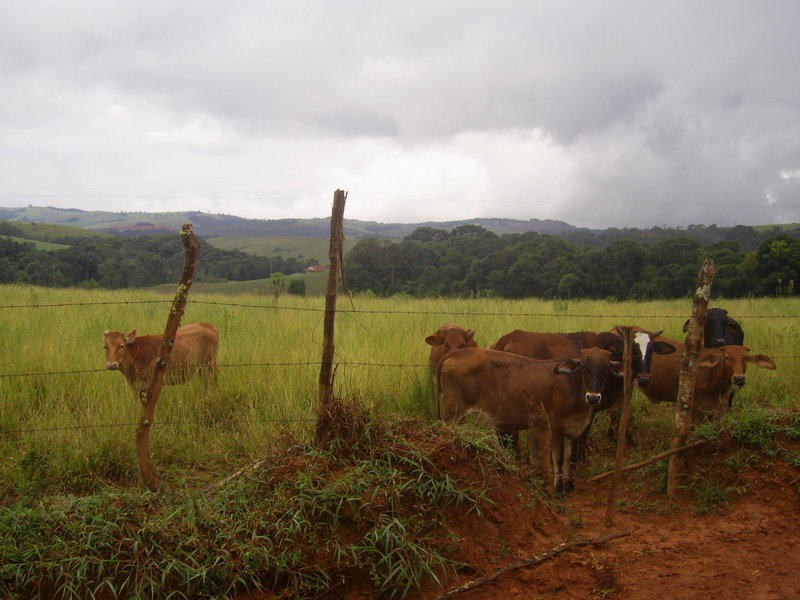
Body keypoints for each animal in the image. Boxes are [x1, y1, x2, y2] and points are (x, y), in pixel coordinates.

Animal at [438, 344, 624, 494]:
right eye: (583, 366)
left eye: (606, 367)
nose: (593, 397)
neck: (574, 385)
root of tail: (458, 352)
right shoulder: (555, 424)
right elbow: (558, 457)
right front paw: (558, 488)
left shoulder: (572, 427)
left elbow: (568, 457)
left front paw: (569, 484)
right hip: (452, 413)